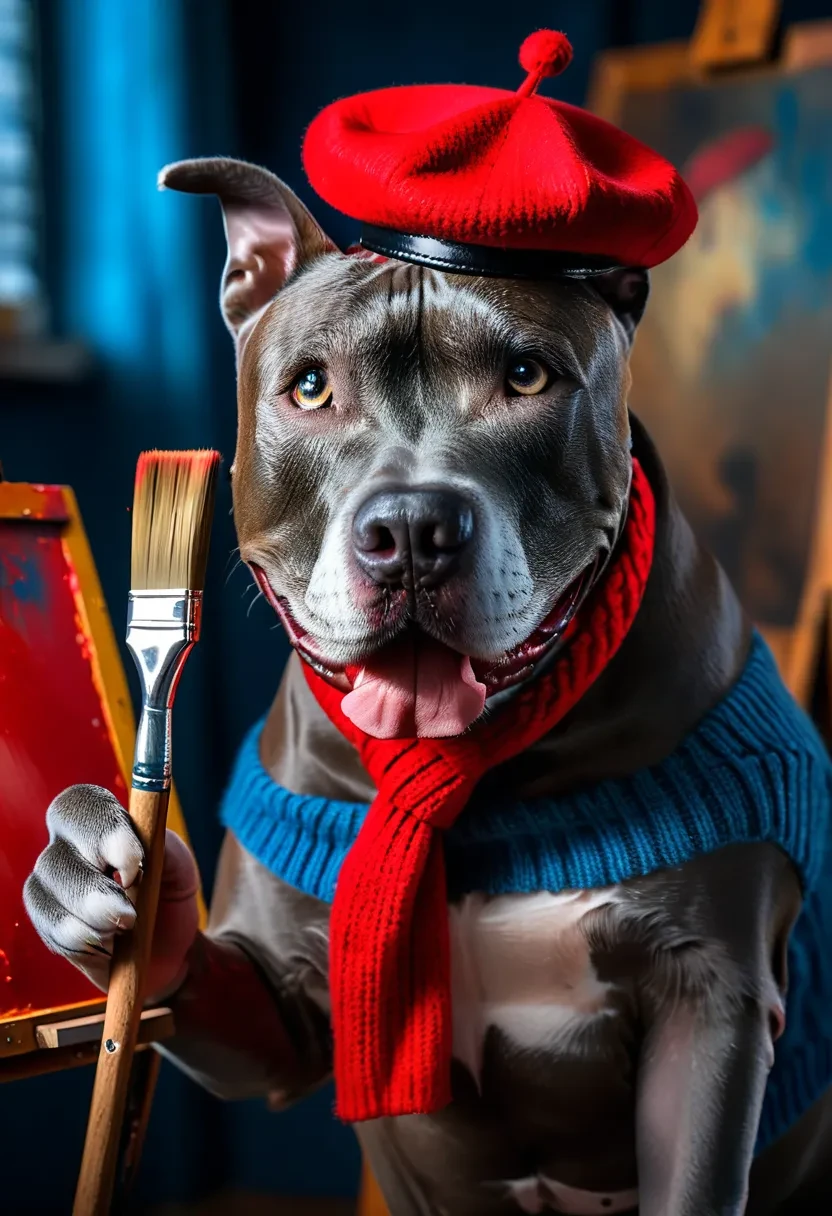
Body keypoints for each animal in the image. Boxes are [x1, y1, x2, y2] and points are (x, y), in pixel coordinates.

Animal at [22, 164, 832, 1216]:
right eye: (311, 386)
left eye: (526, 377)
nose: (410, 528)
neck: (478, 779)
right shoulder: (289, 1002)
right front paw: (86, 877)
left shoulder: (710, 1001)